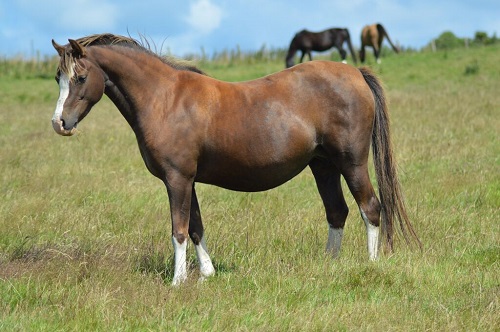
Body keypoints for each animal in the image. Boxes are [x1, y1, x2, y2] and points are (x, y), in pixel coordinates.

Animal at [50, 32, 420, 284]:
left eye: (80, 76)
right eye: (58, 77)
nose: (59, 123)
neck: (166, 99)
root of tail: (355, 73)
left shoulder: (177, 179)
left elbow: (179, 229)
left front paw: (177, 281)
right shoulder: (188, 181)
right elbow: (196, 226)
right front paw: (207, 273)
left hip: (351, 163)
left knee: (370, 208)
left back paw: (370, 265)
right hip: (323, 166)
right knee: (337, 212)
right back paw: (329, 263)